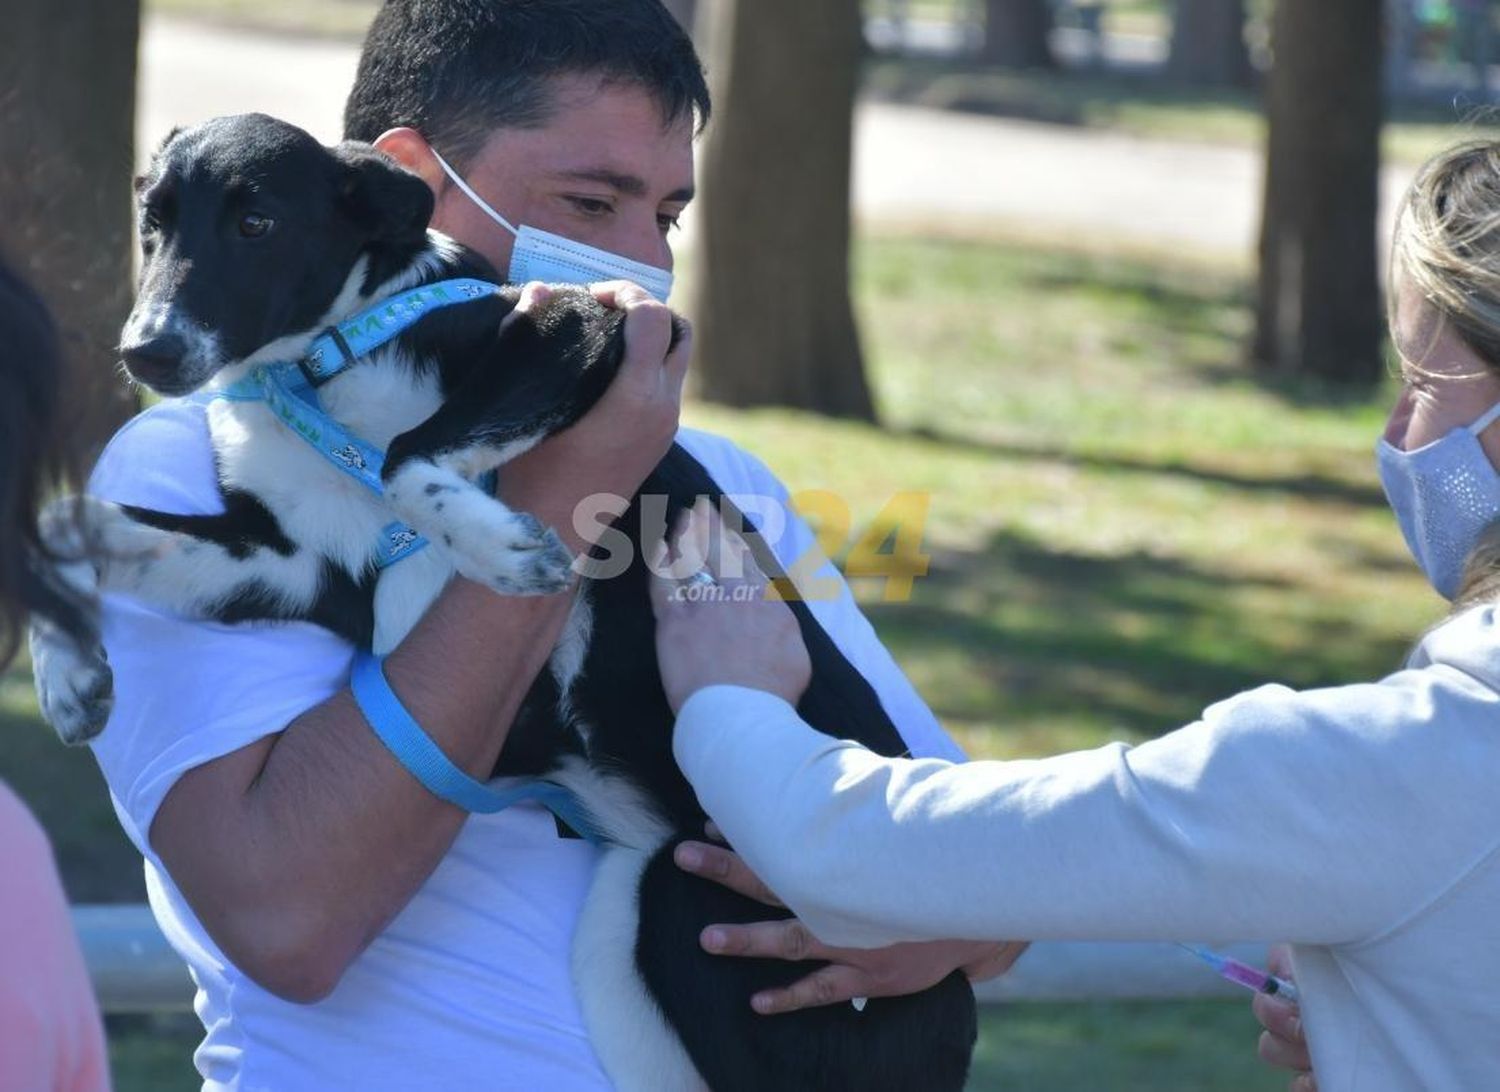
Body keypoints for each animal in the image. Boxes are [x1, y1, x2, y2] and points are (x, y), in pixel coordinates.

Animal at [35, 115, 978, 1086]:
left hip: (693, 906)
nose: (144, 351)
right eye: (152, 223)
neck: (318, 370)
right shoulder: (296, 565)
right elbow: (66, 519)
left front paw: (495, 547)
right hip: (628, 940)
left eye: (256, 223)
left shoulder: (583, 327)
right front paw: (69, 677)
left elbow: (410, 454)